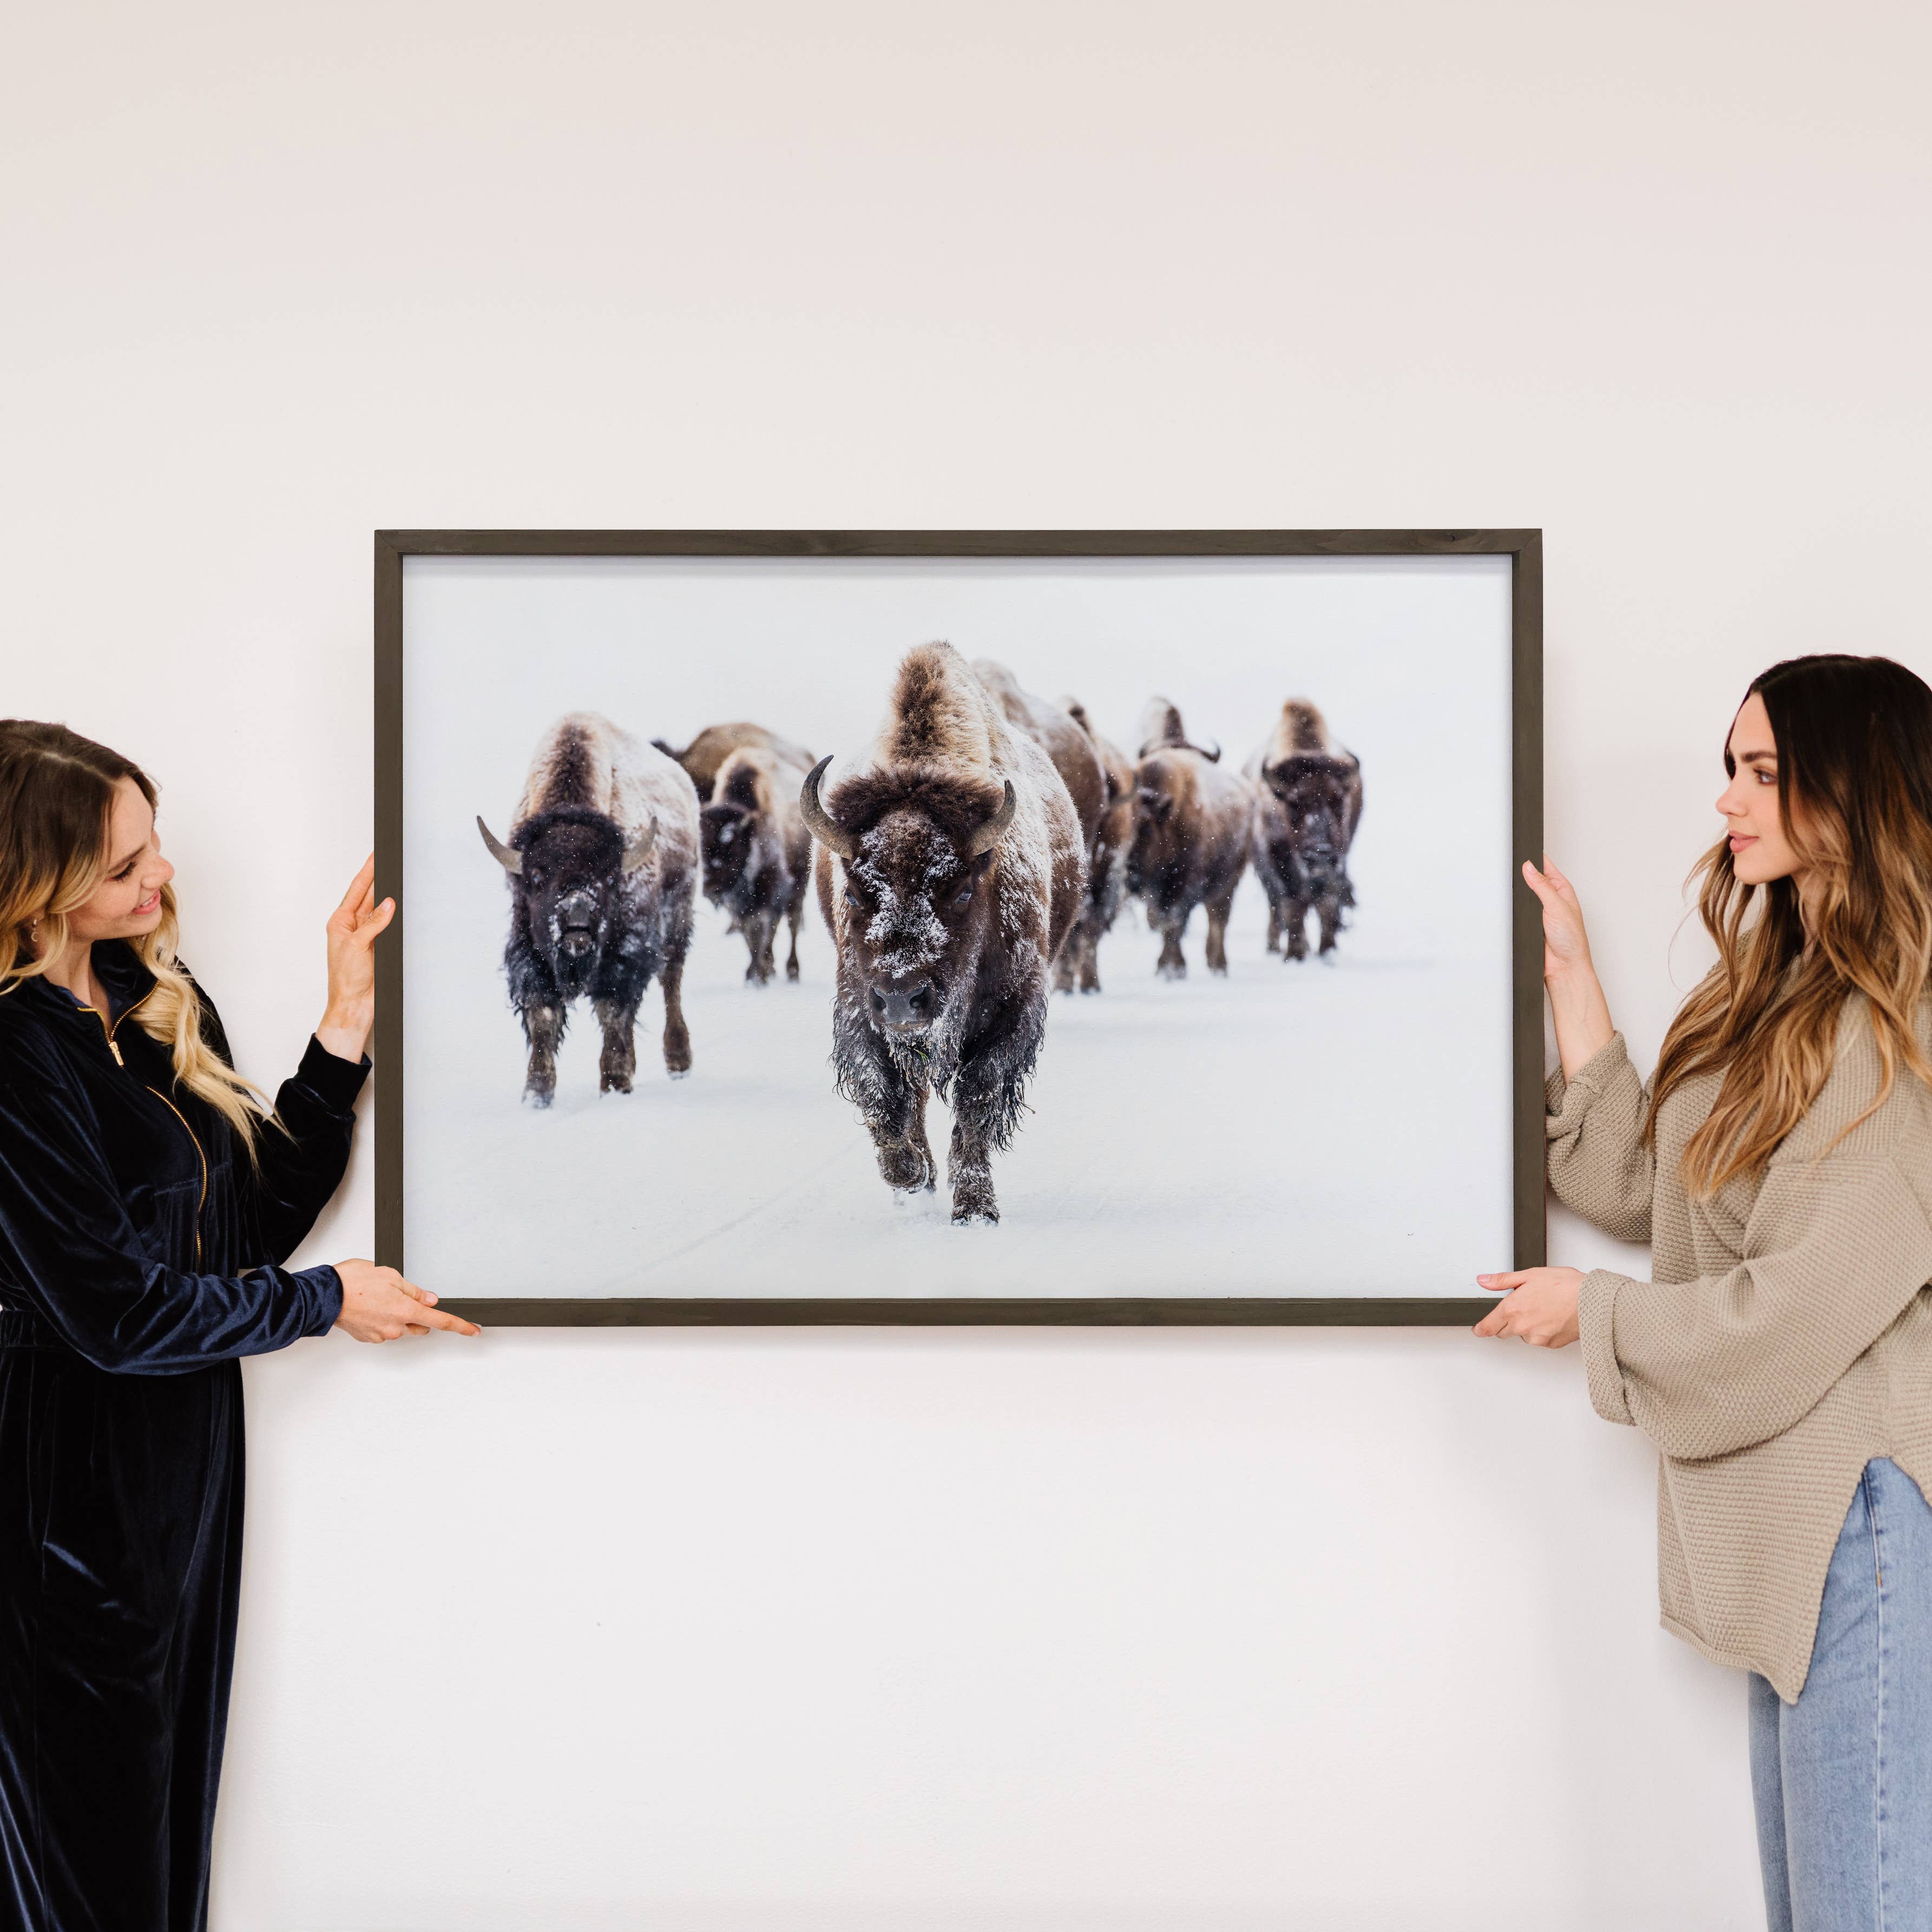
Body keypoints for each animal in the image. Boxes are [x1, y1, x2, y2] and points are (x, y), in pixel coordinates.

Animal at [477, 711, 703, 1105]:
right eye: (537, 877)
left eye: (610, 877)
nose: (577, 919)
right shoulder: (529, 953)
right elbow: (543, 1015)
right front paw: (537, 1094)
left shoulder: (625, 955)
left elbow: (613, 1011)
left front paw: (614, 1083)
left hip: (678, 917)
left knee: (670, 980)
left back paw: (678, 1062)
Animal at [703, 738, 807, 981]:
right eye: (700, 848)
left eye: (730, 850)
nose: (709, 889)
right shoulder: (738, 902)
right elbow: (747, 931)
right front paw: (755, 973)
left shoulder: (772, 887)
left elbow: (761, 928)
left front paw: (757, 975)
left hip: (799, 883)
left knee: (793, 922)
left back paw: (792, 970)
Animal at [804, 649, 1089, 1221]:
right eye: (854, 893)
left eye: (960, 891)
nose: (902, 998)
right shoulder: (859, 1008)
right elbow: (883, 1091)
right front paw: (910, 1175)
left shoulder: (1012, 1012)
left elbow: (977, 1099)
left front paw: (975, 1209)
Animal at [1128, 692, 1259, 974]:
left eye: (1145, 827)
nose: (1128, 871)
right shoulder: (1157, 892)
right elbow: (1164, 921)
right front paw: (1166, 966)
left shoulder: (1183, 884)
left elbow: (1174, 922)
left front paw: (1172, 969)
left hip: (1229, 880)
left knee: (1218, 917)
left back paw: (1218, 964)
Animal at [1244, 699, 1368, 962]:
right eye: (1293, 803)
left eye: (1338, 799)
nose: (1320, 853)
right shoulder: (1280, 865)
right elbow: (1293, 908)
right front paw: (1295, 955)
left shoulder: (1338, 862)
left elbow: (1327, 905)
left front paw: (1327, 952)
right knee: (1277, 907)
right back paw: (1275, 948)